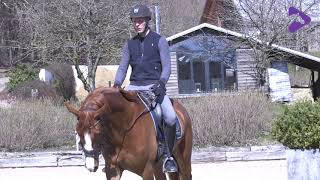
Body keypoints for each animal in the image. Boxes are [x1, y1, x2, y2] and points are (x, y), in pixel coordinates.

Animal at [63, 86, 191, 179]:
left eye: (98, 132)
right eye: (78, 132)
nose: (91, 166)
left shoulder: (147, 170)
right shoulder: (113, 170)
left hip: (183, 159)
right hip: (158, 165)